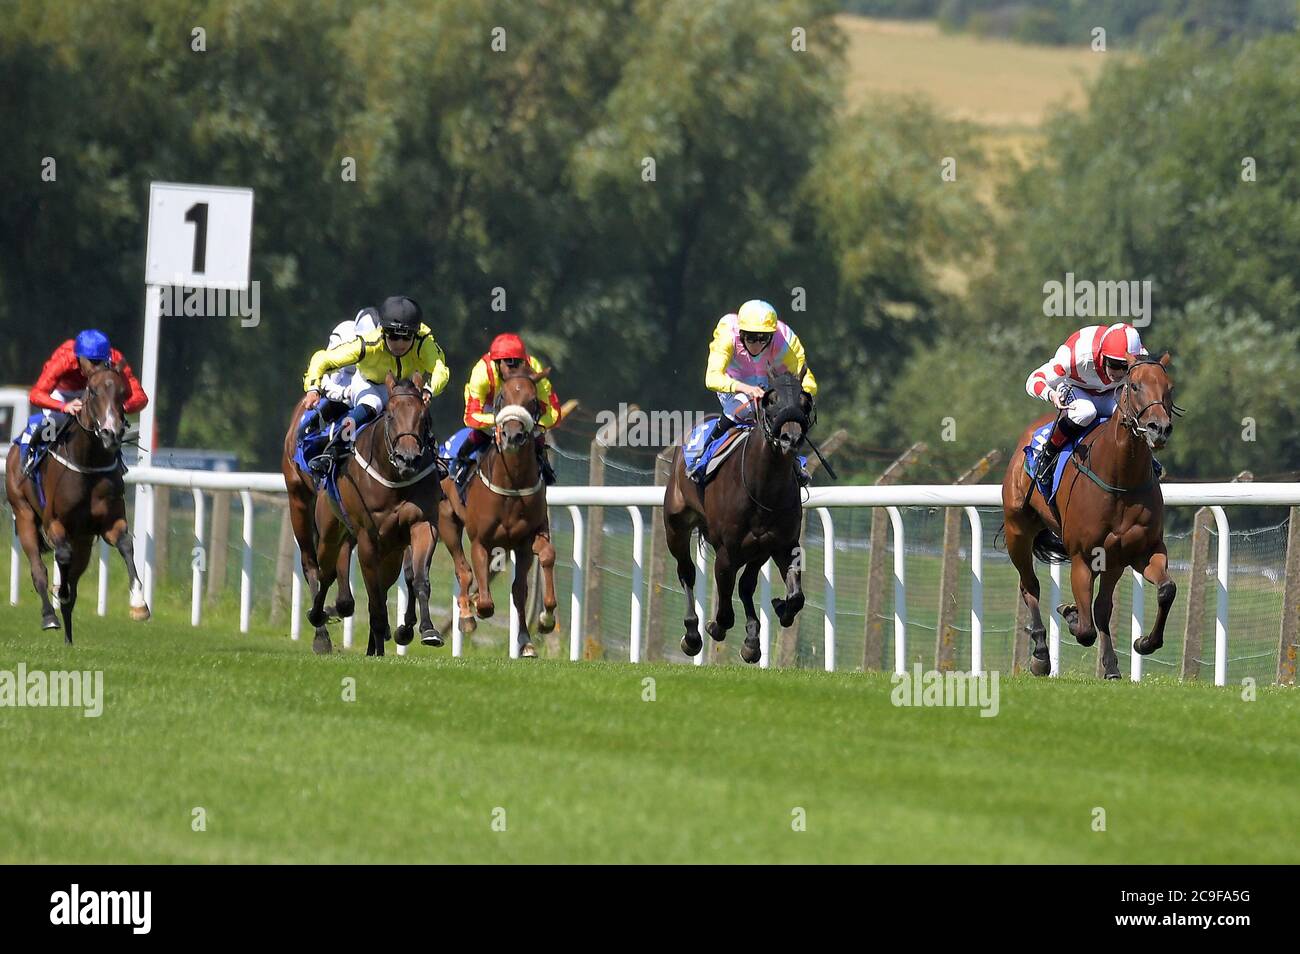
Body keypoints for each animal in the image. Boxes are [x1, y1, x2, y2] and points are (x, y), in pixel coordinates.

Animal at [4, 361, 149, 647]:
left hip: (83, 540)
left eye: (124, 392)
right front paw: (59, 593)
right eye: (92, 391)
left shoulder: (110, 522)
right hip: (23, 513)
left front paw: (139, 604)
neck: (88, 460)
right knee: (38, 568)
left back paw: (69, 638)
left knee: (74, 577)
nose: (111, 432)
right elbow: (61, 557)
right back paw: (50, 615)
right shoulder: (55, 523)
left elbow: (126, 544)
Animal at [436, 366, 559, 657]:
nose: (512, 435)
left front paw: (541, 623)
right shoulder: (481, 541)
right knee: (462, 569)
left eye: (533, 401)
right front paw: (474, 607)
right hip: (447, 521)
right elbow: (485, 601)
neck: (511, 481)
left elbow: (534, 573)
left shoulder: (527, 540)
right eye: (502, 397)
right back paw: (467, 615)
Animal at [665, 369, 816, 670]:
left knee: (746, 586)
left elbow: (796, 596)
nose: (790, 438)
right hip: (675, 527)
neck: (763, 485)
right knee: (686, 572)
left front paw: (779, 609)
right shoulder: (727, 550)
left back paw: (752, 641)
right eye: (772, 400)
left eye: (804, 402)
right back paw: (692, 634)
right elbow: (724, 607)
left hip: (758, 551)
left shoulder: (782, 544)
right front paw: (714, 627)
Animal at [998, 356, 1185, 681]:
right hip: (1017, 531)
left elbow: (1166, 589)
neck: (1120, 478)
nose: (1158, 428)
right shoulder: (1083, 557)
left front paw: (1145, 642)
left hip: (1112, 561)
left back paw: (1110, 666)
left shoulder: (1142, 551)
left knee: (1102, 607)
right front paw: (1071, 615)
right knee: (1030, 586)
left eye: (1169, 387)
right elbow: (1085, 630)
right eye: (1134, 386)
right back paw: (1041, 655)